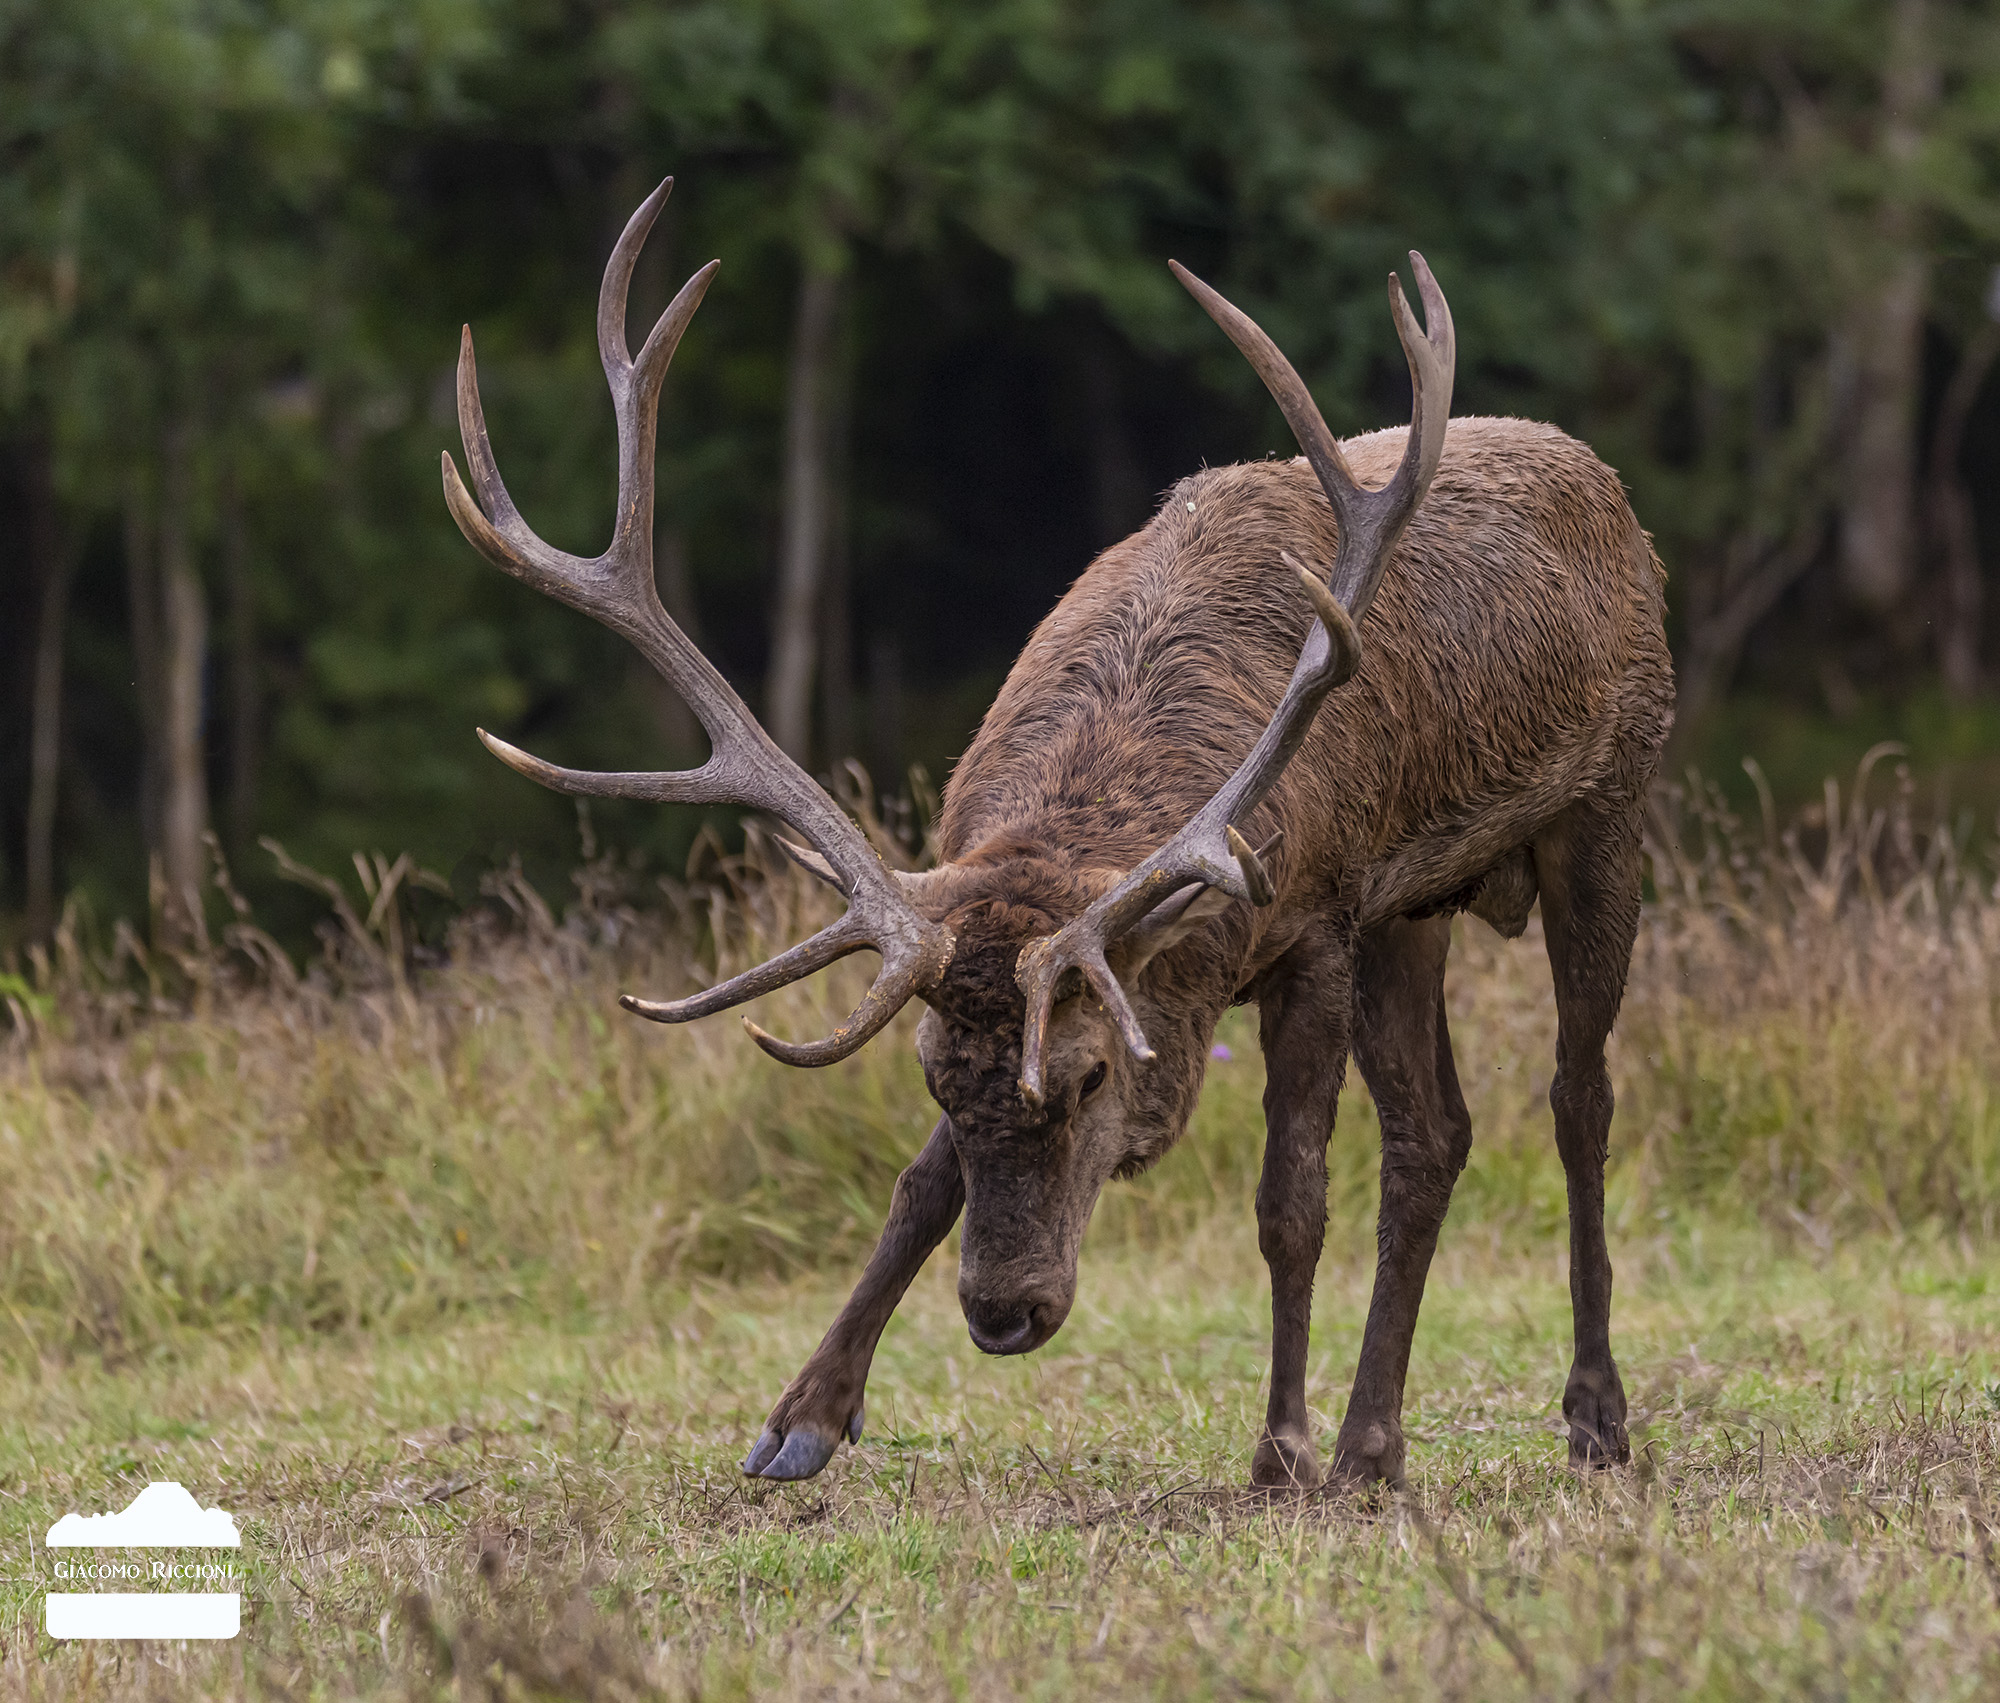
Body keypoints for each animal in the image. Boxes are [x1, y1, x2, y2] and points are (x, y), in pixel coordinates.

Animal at [442, 179, 1674, 1492]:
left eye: (1088, 1074)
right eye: (934, 1076)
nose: (1002, 1311)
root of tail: (1607, 488)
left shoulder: (1318, 920)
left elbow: (1288, 1200)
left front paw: (1278, 1445)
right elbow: (917, 1186)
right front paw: (799, 1419)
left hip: (1604, 808)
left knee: (1575, 1096)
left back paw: (1585, 1416)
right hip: (1417, 906)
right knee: (1433, 1134)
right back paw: (1375, 1443)